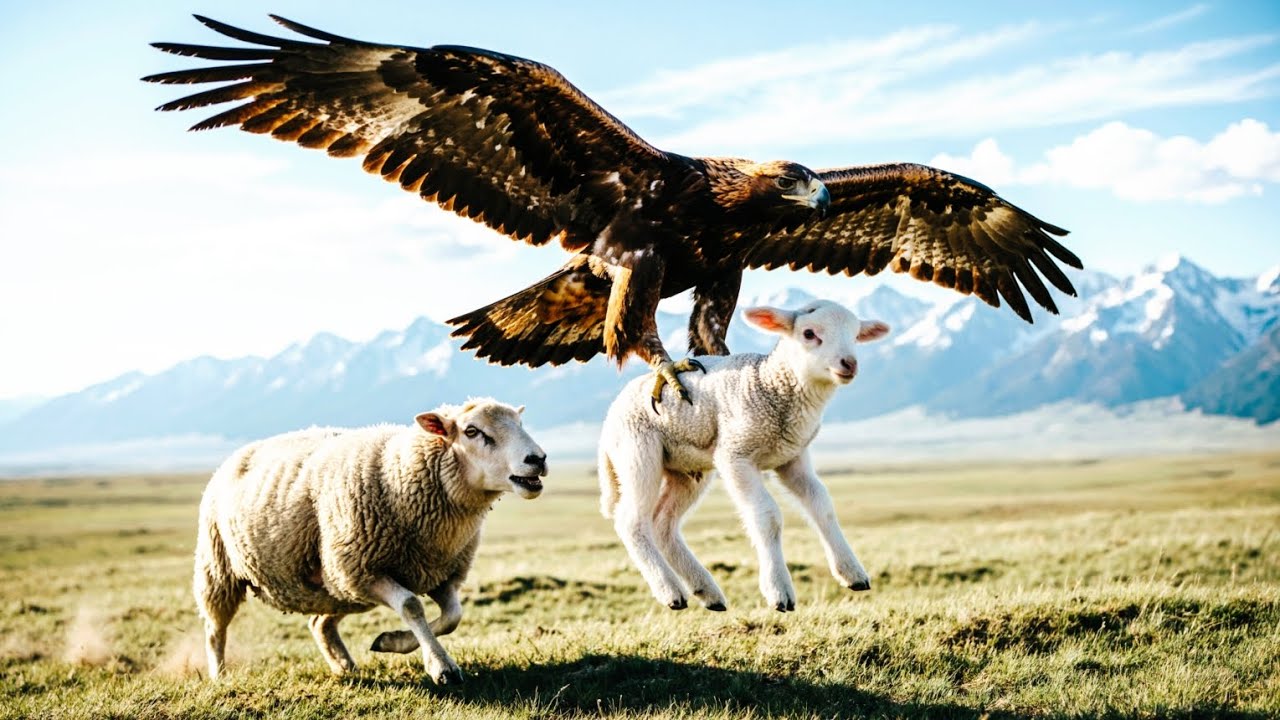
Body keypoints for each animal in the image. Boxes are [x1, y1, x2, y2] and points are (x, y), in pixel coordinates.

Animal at [193, 398, 547, 684]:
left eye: (519, 424)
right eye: (472, 431)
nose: (538, 459)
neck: (398, 477)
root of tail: (237, 455)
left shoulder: (440, 573)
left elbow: (452, 616)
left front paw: (392, 642)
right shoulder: (365, 571)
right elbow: (412, 606)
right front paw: (441, 667)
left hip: (336, 589)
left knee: (320, 623)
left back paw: (345, 667)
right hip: (220, 569)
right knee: (214, 629)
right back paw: (219, 675)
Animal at [598, 299, 889, 612]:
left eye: (855, 335)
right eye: (809, 334)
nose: (849, 363)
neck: (771, 383)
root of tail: (608, 420)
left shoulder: (792, 457)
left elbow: (823, 506)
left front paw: (852, 573)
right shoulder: (736, 455)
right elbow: (768, 516)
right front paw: (778, 590)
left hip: (686, 468)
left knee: (663, 522)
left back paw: (707, 591)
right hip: (637, 450)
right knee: (631, 521)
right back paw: (670, 591)